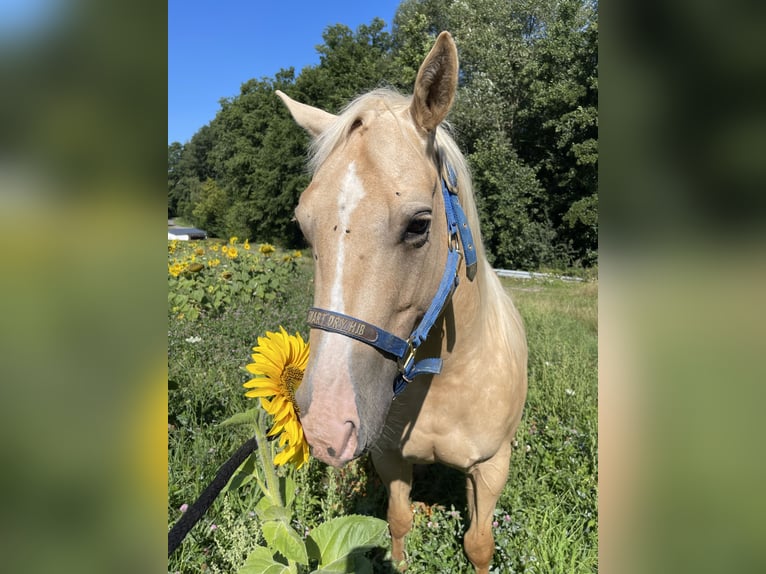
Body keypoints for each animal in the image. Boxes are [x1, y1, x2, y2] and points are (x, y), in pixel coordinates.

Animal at [276, 31, 527, 574]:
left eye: (418, 224)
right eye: (303, 226)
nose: (327, 423)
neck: (449, 375)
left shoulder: (492, 467)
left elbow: (479, 542)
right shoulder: (390, 457)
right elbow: (397, 522)